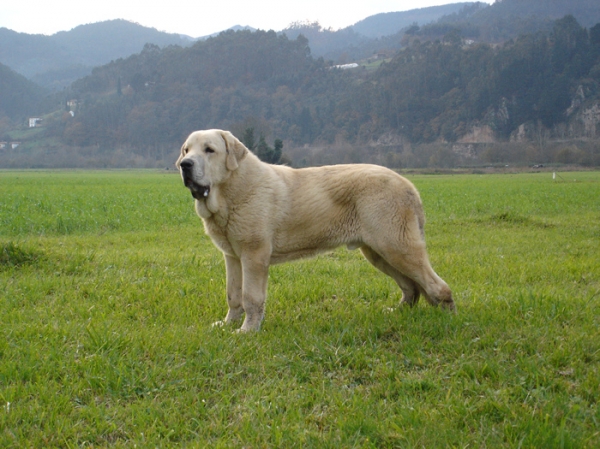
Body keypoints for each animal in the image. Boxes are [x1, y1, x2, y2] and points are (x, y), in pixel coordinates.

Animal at [178, 128, 454, 330]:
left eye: (209, 150)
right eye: (187, 150)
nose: (185, 164)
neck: (231, 191)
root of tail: (408, 185)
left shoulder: (253, 256)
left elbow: (250, 297)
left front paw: (248, 331)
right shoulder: (233, 256)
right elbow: (233, 294)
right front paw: (227, 325)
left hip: (396, 246)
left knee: (435, 284)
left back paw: (447, 317)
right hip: (378, 252)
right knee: (411, 286)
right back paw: (398, 311)